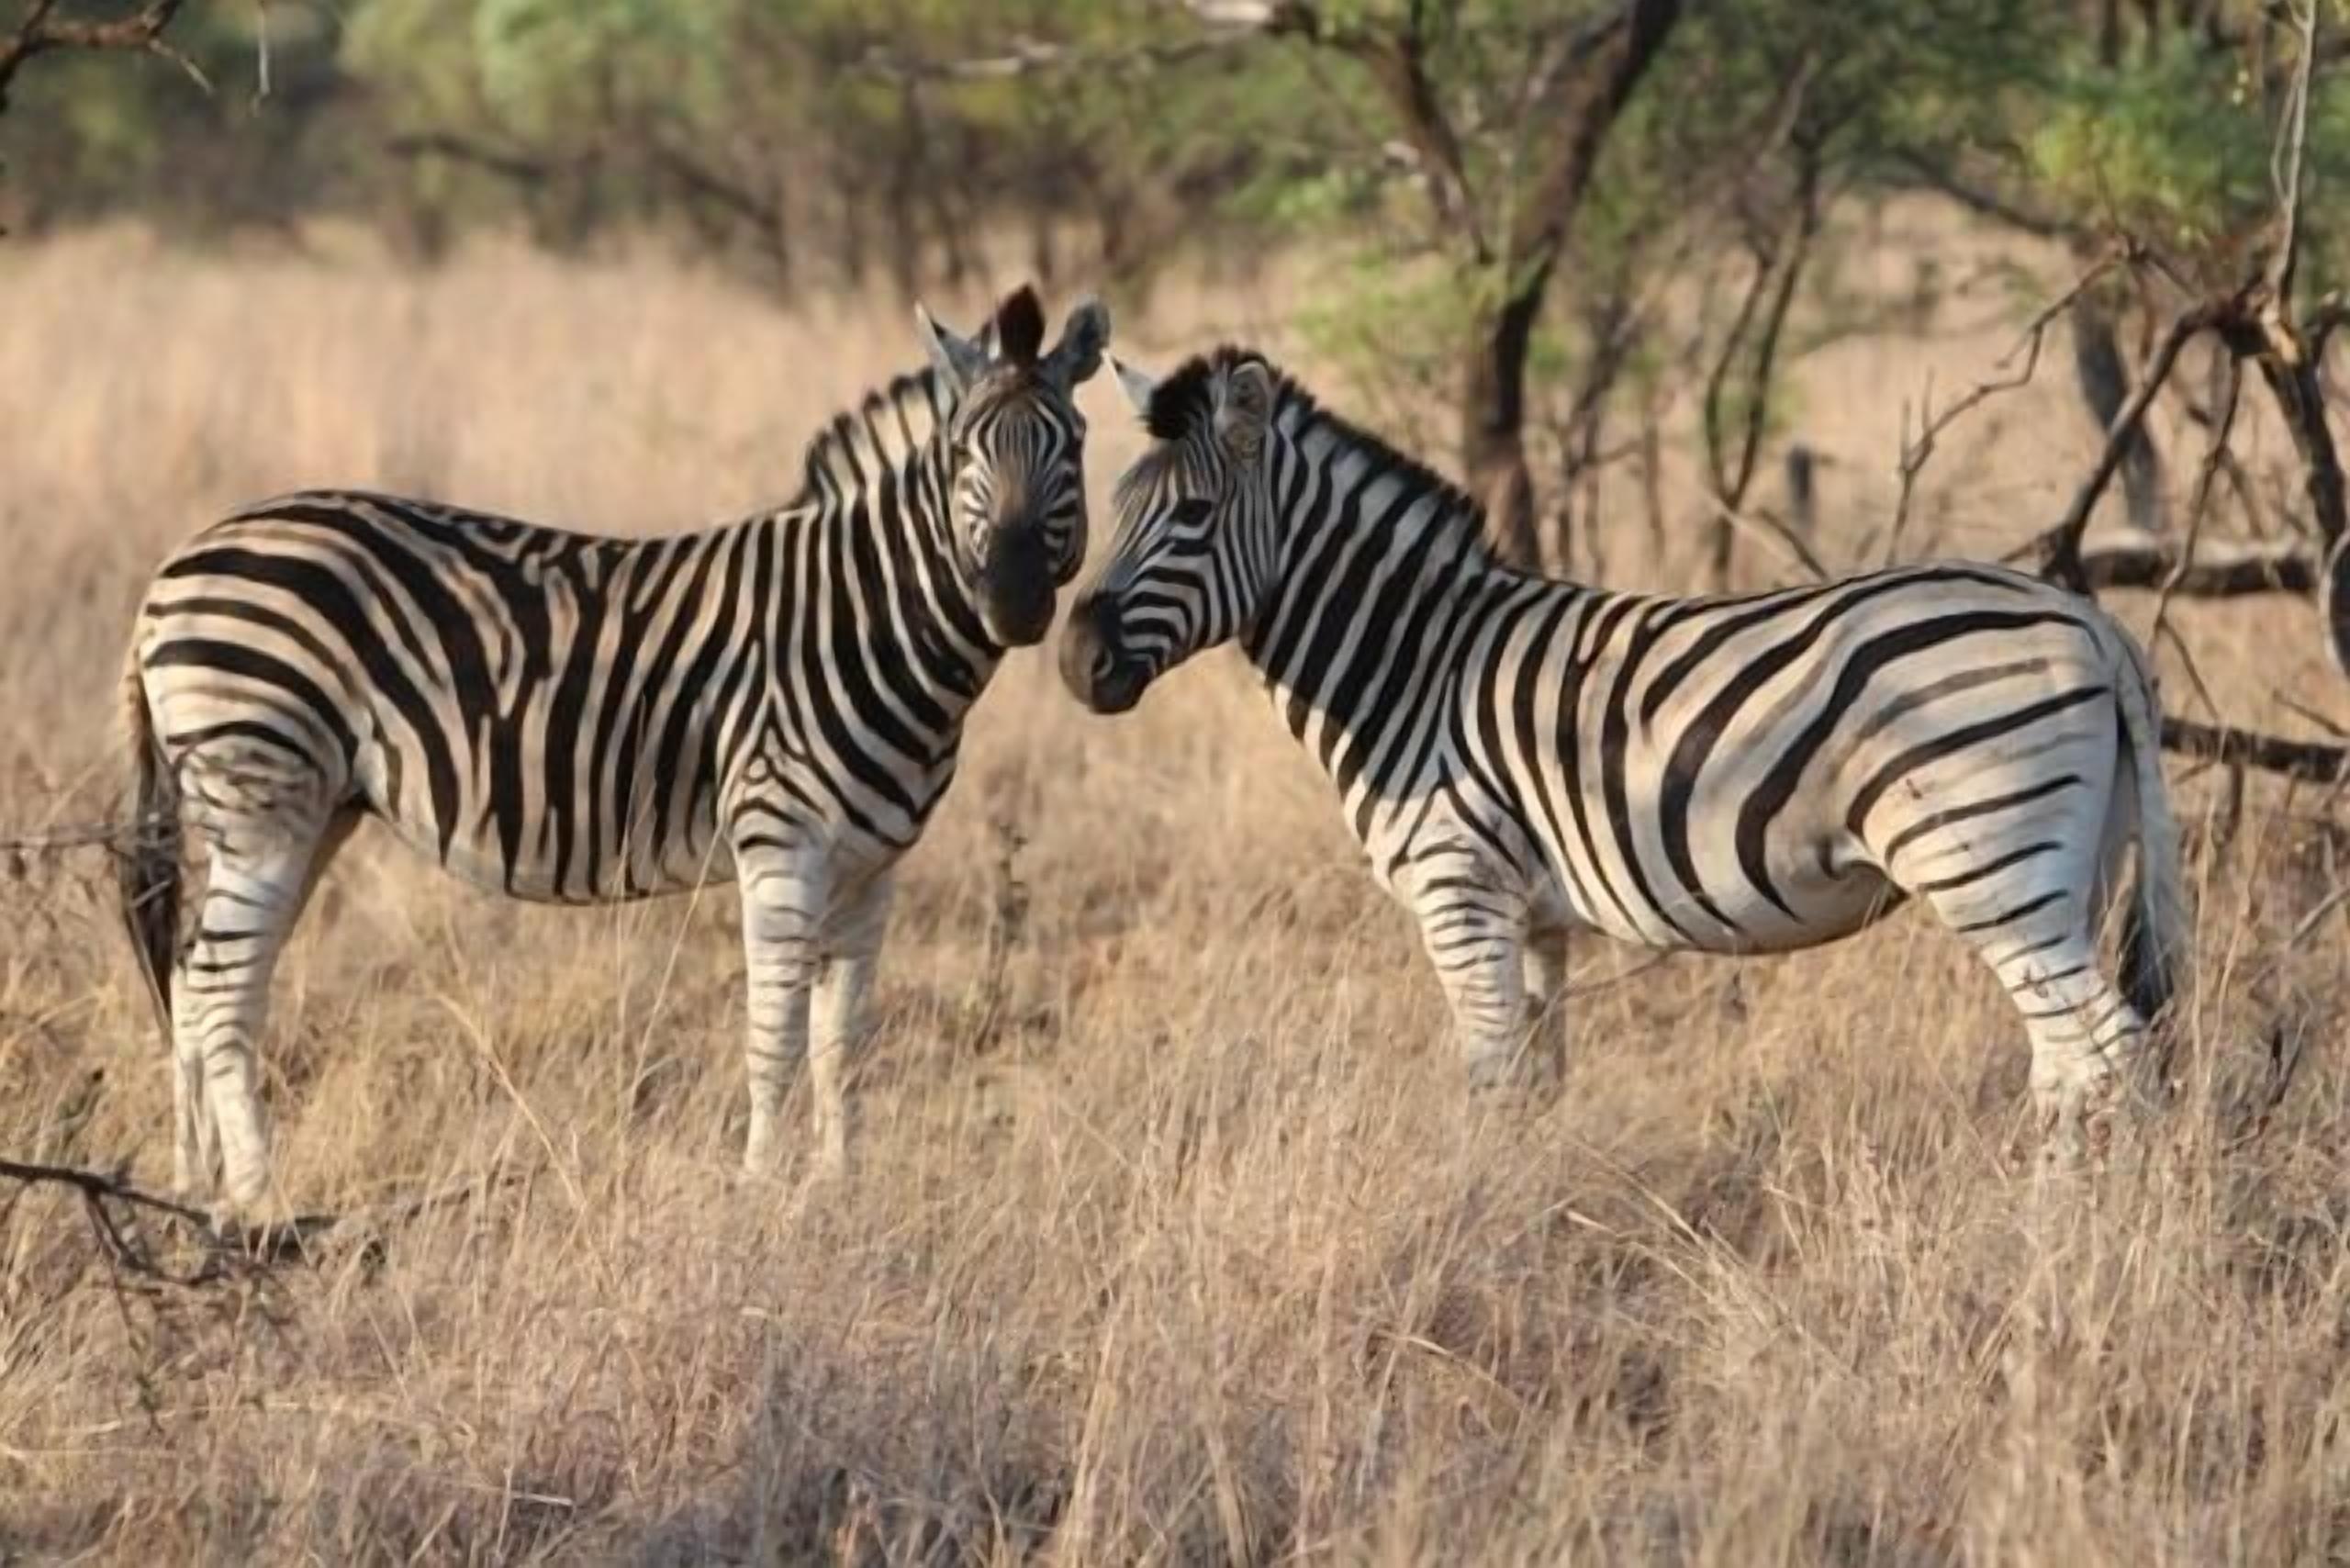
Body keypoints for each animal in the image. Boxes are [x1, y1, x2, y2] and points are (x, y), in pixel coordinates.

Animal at [117, 286, 1110, 1217]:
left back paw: (195, 1185)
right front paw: (759, 1193)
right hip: (263, 793)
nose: (1016, 600)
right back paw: (259, 1197)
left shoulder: (872, 870)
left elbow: (842, 1047)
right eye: (964, 453)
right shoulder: (780, 843)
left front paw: (839, 1192)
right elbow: (775, 1037)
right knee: (217, 987)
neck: (861, 619)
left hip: (313, 810)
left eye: (1074, 447)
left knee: (200, 982)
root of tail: (172, 566)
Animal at [1059, 345, 2188, 1170]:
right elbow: (1536, 1079)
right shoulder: (1531, 914)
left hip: (1990, 867)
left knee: (2113, 1054)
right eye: (1113, 512)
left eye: (1192, 515)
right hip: (2074, 869)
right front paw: (1526, 1211)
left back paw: (2071, 1253)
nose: (1075, 664)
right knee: (2068, 1065)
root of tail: (2091, 623)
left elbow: (1487, 1080)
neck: (1412, 661)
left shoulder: (1457, 891)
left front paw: (1478, 1221)